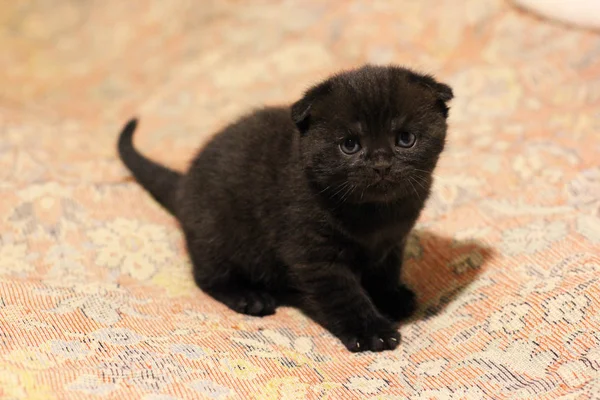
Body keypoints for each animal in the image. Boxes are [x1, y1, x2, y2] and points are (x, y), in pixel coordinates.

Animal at [119, 64, 452, 352]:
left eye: (405, 139)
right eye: (349, 145)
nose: (381, 163)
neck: (375, 215)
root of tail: (184, 183)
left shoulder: (393, 242)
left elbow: (385, 272)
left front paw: (391, 297)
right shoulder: (315, 256)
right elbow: (345, 296)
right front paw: (371, 331)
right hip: (216, 236)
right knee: (208, 277)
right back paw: (249, 296)